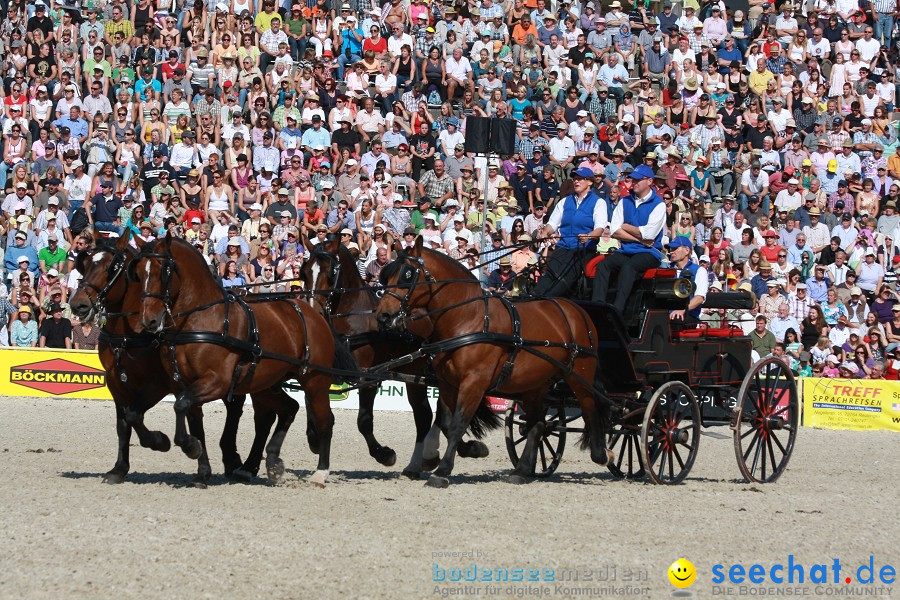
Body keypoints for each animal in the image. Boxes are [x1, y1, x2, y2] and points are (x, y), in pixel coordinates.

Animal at [70, 234, 246, 488]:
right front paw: (118, 469)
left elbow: (134, 415)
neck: (128, 334)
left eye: (112, 267)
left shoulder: (159, 384)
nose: (78, 305)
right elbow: (123, 425)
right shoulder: (116, 383)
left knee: (232, 411)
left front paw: (159, 441)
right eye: (84, 263)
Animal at [134, 234, 352, 488]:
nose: (149, 321)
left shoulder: (217, 382)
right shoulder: (184, 385)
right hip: (264, 384)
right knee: (289, 408)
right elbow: (193, 420)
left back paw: (320, 473)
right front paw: (202, 471)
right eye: (137, 272)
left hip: (315, 381)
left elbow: (180, 407)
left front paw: (189, 447)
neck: (200, 319)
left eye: (164, 270)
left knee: (325, 421)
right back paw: (272, 462)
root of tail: (314, 315)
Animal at [298, 239, 488, 478]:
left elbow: (364, 421)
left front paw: (384, 454)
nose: (314, 312)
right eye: (305, 272)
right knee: (426, 415)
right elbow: (311, 404)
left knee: (437, 414)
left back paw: (446, 451)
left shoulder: (368, 378)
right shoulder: (322, 371)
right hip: (416, 378)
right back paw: (421, 462)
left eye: (331, 272)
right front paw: (314, 439)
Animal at [372, 237, 612, 486]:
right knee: (538, 424)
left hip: (580, 373)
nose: (383, 316)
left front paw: (442, 471)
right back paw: (522, 470)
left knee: (589, 407)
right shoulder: (447, 384)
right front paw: (462, 452)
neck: (470, 318)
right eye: (387, 276)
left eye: (407, 275)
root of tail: (575, 309)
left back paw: (602, 454)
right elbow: (447, 422)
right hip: (536, 384)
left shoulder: (474, 383)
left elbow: (458, 424)